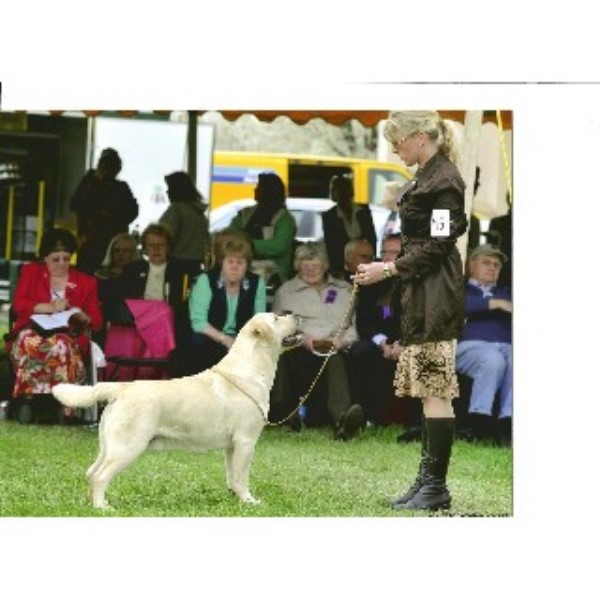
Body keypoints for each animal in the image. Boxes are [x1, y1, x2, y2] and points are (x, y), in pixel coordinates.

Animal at [52, 312, 300, 508]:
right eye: (276, 318)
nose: (296, 315)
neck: (251, 368)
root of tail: (121, 388)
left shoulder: (232, 446)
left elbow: (232, 475)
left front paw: (234, 497)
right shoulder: (246, 441)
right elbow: (242, 476)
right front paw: (249, 501)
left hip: (109, 445)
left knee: (91, 472)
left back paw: (96, 503)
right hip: (129, 445)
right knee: (101, 476)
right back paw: (103, 508)